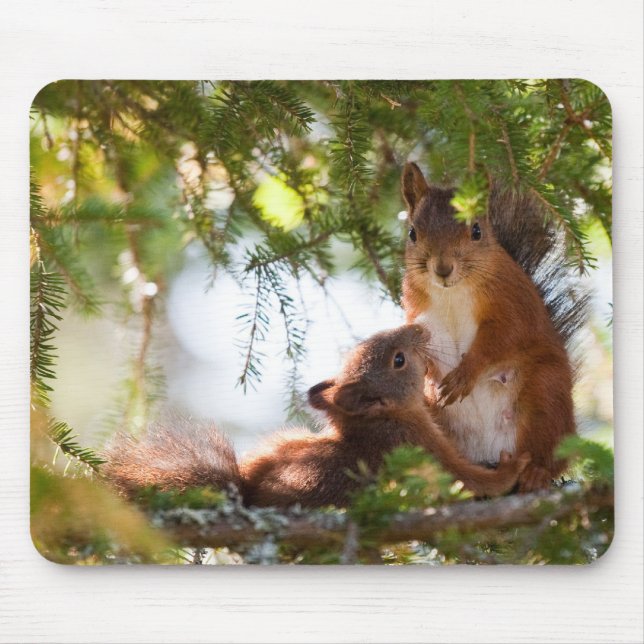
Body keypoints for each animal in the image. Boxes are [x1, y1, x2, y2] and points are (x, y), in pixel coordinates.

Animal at [103, 325, 530, 508]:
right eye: (398, 360)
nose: (420, 328)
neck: (377, 421)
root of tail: (247, 495)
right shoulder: (414, 446)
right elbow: (464, 479)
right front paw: (513, 466)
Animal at [400, 162, 588, 492]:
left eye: (476, 231)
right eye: (413, 233)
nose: (443, 268)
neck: (451, 293)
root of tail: (491, 453)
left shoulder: (511, 304)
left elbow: (502, 339)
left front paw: (464, 375)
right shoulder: (416, 316)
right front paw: (429, 381)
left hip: (546, 393)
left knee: (550, 453)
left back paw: (535, 472)